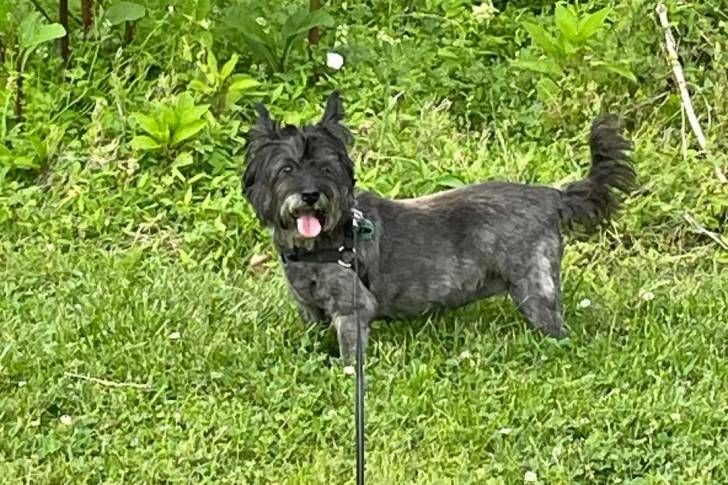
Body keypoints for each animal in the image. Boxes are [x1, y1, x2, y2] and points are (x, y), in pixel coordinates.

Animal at [242, 92, 635, 362]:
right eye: (286, 169)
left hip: (534, 288)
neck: (325, 240)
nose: (311, 195)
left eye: (326, 168)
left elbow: (351, 354)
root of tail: (551, 196)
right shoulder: (309, 309)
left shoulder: (352, 310)